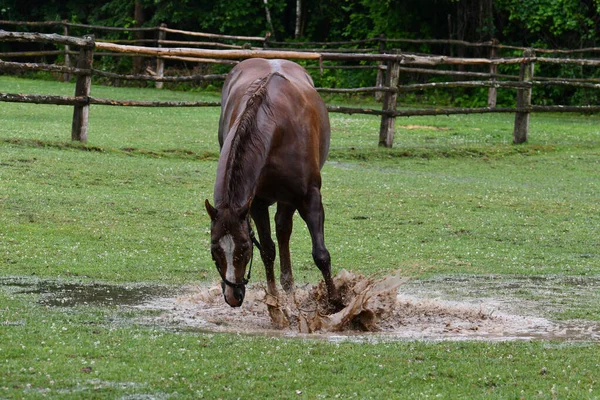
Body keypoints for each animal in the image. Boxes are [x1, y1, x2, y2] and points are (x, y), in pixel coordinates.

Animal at [204, 57, 340, 310]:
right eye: (214, 249)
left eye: (245, 248)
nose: (232, 295)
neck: (278, 127)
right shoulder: (255, 203)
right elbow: (268, 249)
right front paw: (274, 298)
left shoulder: (310, 198)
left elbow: (320, 254)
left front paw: (337, 302)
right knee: (281, 231)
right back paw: (287, 289)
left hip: (290, 199)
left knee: (284, 229)